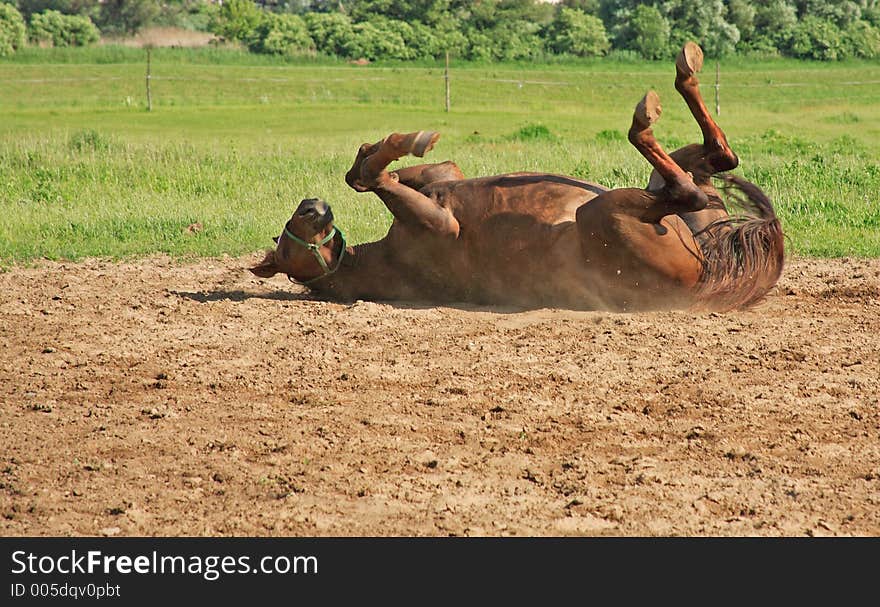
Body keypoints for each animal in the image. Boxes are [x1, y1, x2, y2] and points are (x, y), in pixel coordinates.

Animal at [249, 44, 784, 314]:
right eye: (286, 241)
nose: (313, 205)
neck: (383, 257)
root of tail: (703, 274)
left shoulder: (445, 179)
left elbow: (370, 172)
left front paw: (399, 142)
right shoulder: (442, 226)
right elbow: (371, 180)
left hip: (664, 198)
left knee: (714, 160)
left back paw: (684, 68)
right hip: (609, 212)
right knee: (686, 186)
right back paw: (650, 109)